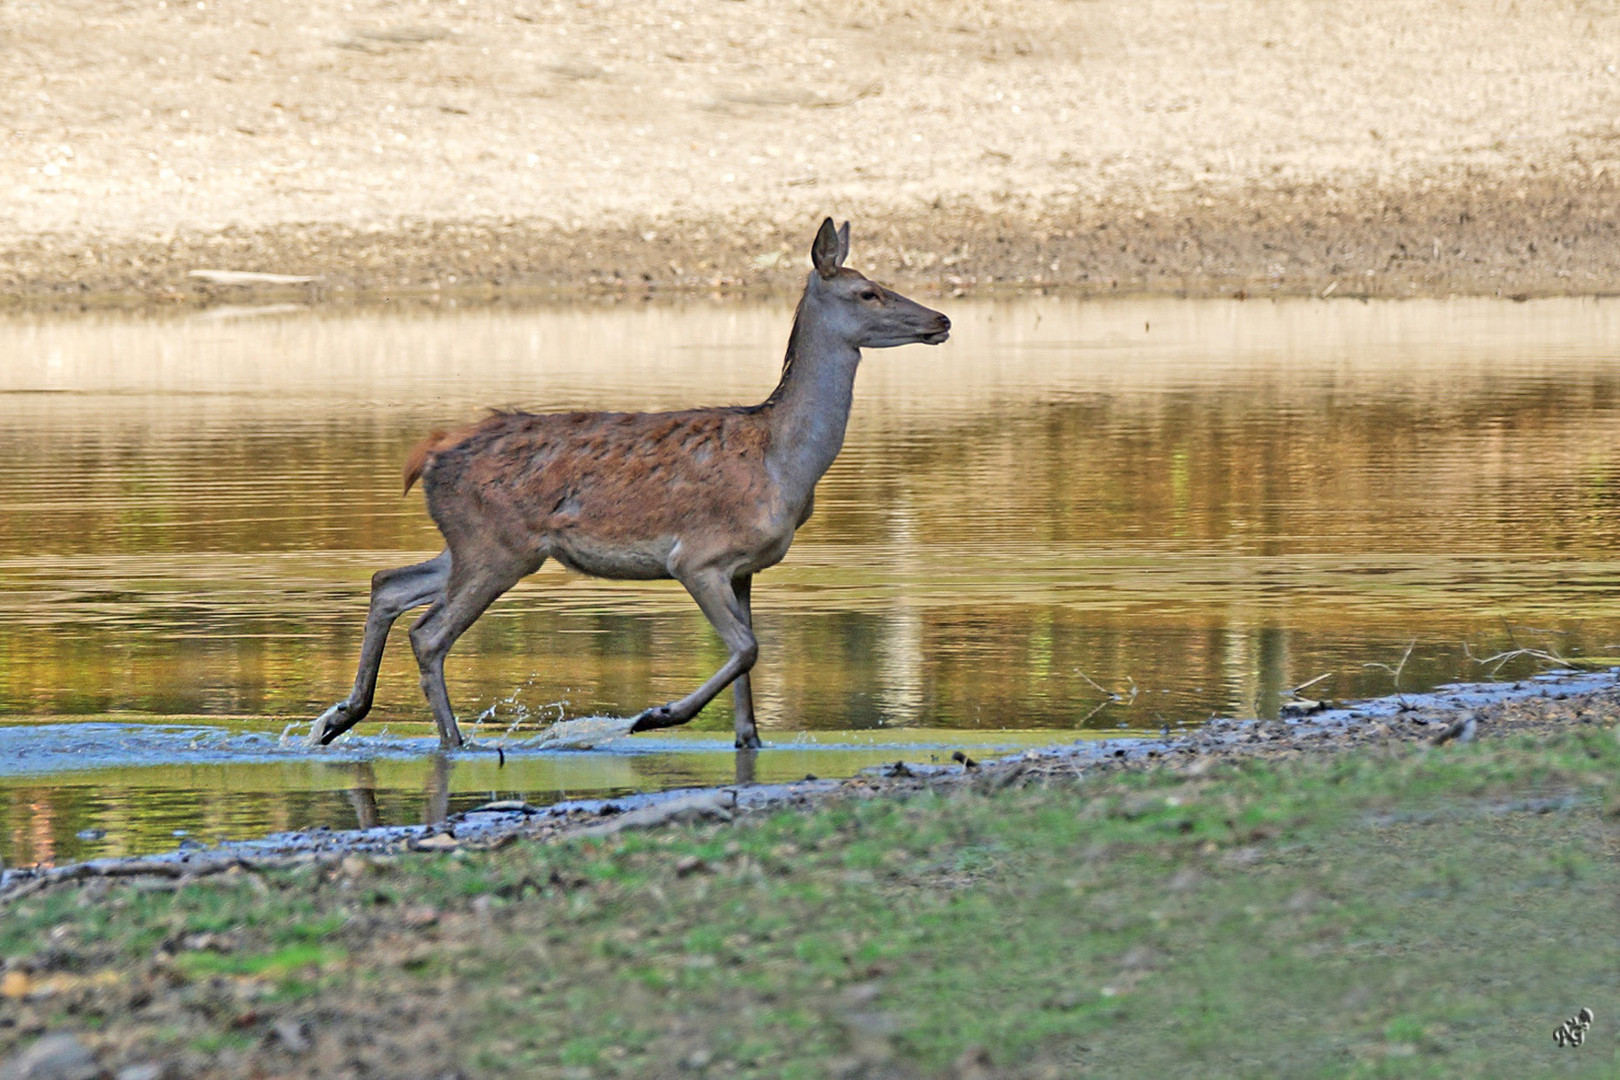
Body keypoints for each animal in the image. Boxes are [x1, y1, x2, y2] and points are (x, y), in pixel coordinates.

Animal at [306, 220, 946, 751]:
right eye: (869, 292)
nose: (940, 319)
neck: (784, 462)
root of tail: (427, 458)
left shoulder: (745, 569)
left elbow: (747, 677)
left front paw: (746, 740)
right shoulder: (699, 557)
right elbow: (747, 648)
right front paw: (654, 716)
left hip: (474, 543)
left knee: (388, 582)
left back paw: (339, 717)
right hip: (497, 547)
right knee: (430, 634)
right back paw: (454, 742)